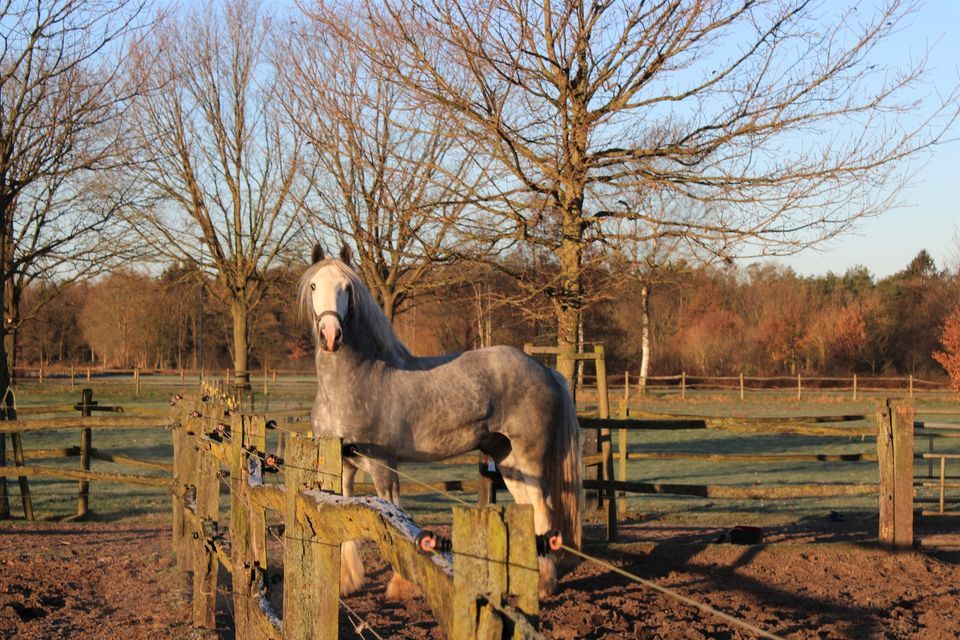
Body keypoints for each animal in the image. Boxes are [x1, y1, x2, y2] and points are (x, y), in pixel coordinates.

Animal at [300, 244, 582, 598]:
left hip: (529, 458)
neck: (356, 379)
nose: (330, 336)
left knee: (544, 511)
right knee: (528, 507)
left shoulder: (383, 464)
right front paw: (346, 582)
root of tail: (546, 370)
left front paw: (402, 584)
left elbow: (393, 514)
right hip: (508, 460)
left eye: (346, 288)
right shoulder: (343, 464)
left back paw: (544, 585)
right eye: (314, 286)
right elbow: (345, 517)